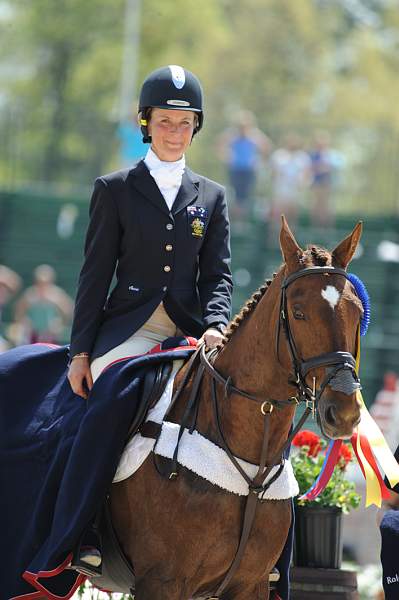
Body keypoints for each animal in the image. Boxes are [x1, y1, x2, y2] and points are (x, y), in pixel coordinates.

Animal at [108, 220, 364, 600]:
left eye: (358, 313)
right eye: (299, 313)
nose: (344, 412)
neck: (251, 472)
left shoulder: (250, 583)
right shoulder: (161, 581)